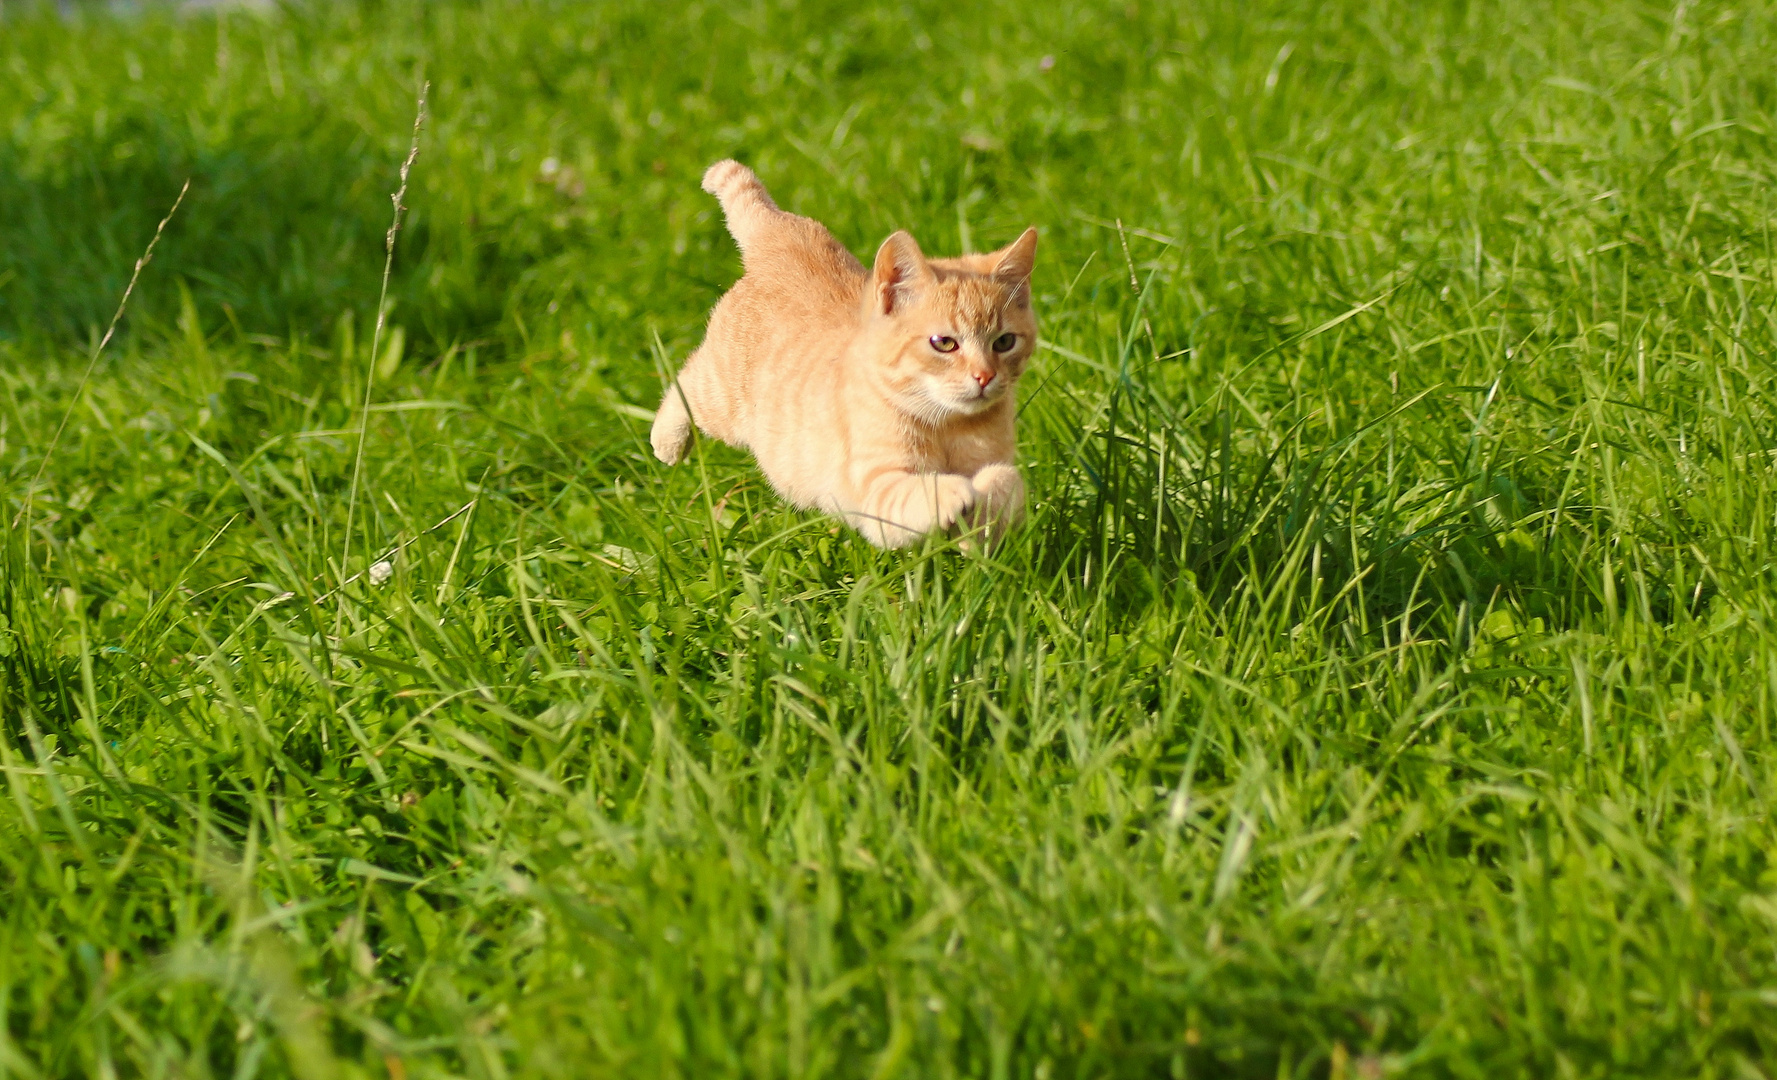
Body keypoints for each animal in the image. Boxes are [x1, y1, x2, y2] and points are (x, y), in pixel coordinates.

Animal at [653, 159, 1037, 547]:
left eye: (1004, 342)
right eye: (944, 343)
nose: (985, 376)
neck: (948, 424)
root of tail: (779, 231)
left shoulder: (998, 462)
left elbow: (1008, 482)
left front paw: (980, 515)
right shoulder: (875, 493)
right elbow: (917, 491)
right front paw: (954, 493)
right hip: (721, 399)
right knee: (687, 379)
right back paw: (668, 441)